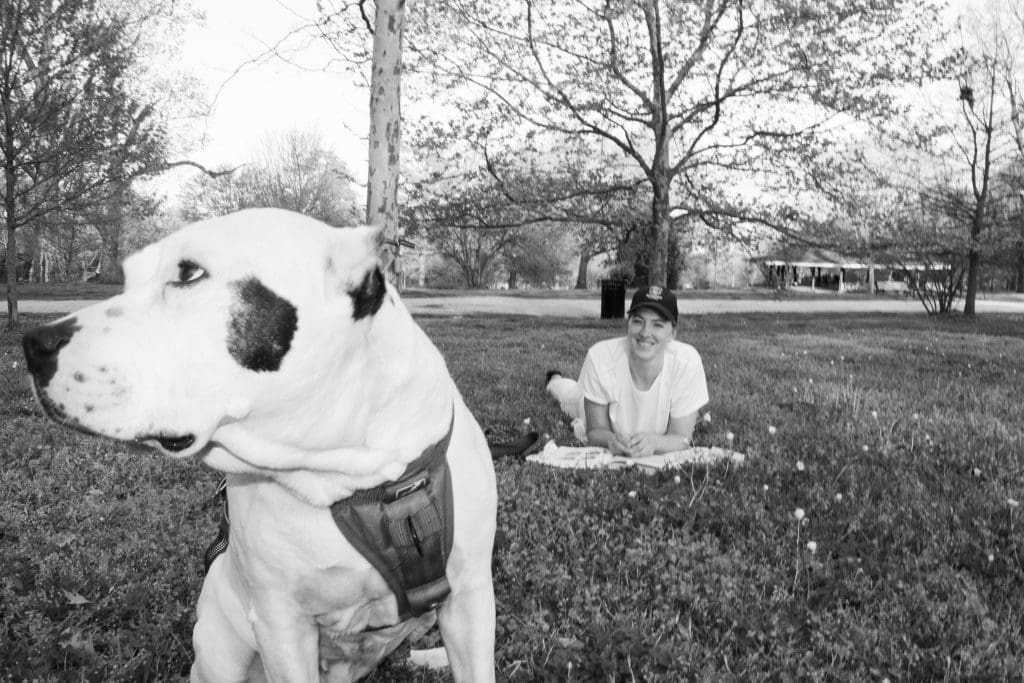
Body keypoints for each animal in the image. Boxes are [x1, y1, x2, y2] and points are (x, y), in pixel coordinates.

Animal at [20, 209, 499, 683]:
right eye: (128, 278)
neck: (351, 474)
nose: (33, 343)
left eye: (189, 273)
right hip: (220, 647)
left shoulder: (471, 597)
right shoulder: (281, 625)